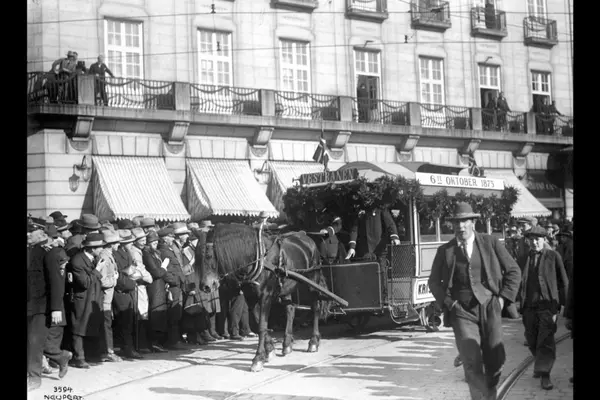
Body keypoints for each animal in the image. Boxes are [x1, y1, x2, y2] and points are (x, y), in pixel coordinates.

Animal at [199, 223, 331, 372]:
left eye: (209, 255)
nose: (204, 286)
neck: (257, 258)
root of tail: (306, 237)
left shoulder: (265, 296)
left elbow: (262, 326)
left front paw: (258, 358)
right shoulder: (251, 298)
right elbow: (259, 322)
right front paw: (269, 349)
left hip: (312, 280)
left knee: (315, 307)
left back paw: (313, 341)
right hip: (285, 286)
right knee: (290, 309)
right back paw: (287, 344)